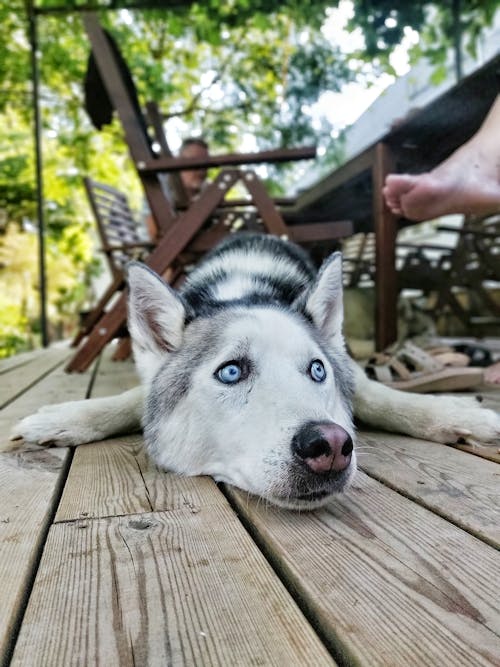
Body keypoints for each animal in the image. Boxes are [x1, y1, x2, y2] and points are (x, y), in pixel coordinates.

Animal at [7, 232, 500, 508]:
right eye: (230, 372)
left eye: (317, 371)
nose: (330, 445)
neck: (242, 290)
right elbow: (130, 400)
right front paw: (65, 418)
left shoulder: (349, 370)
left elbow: (385, 398)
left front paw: (460, 415)